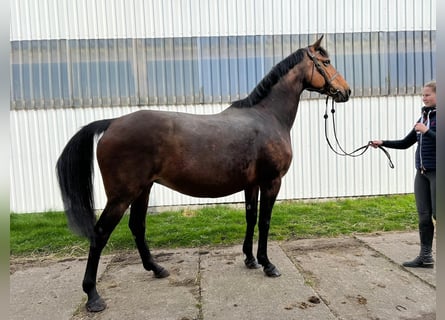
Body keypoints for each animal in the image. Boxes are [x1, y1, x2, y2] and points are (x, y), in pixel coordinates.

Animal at [55, 35, 348, 312]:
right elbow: (264, 221)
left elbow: (251, 218)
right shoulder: (271, 182)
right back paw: (93, 296)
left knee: (137, 226)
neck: (267, 117)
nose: (346, 91)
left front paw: (250, 259)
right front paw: (267, 264)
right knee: (100, 233)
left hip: (142, 190)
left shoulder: (251, 184)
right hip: (121, 195)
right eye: (326, 62)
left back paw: (157, 269)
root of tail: (112, 122)